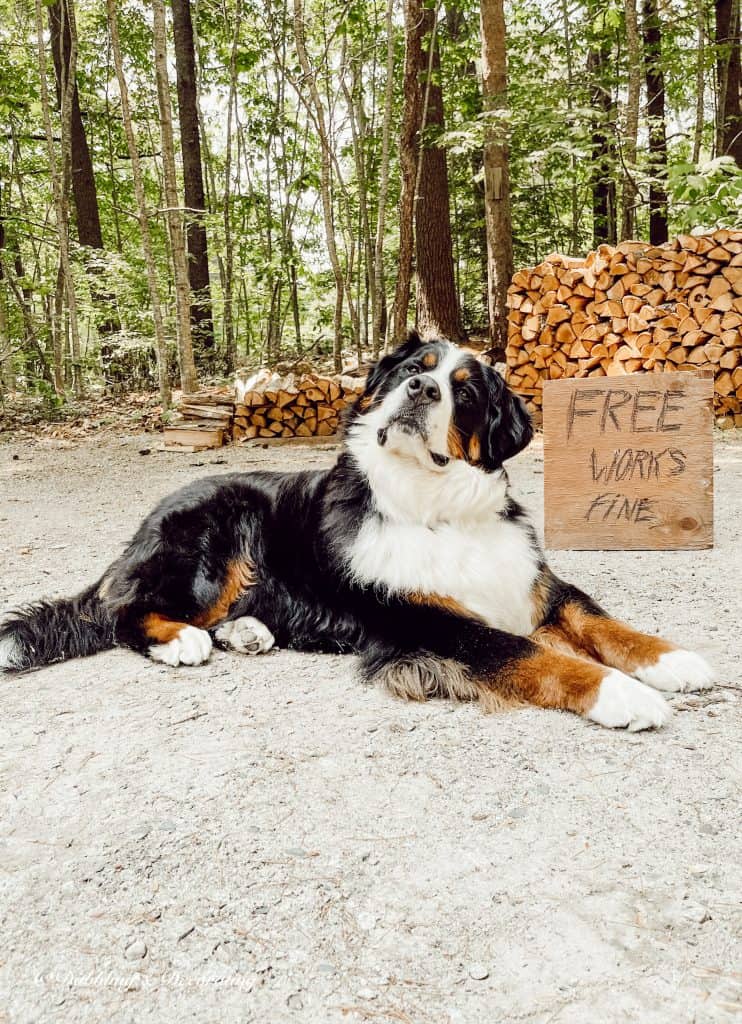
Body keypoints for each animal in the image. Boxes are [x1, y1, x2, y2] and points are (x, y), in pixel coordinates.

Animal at [0, 329, 712, 729]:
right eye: (412, 369)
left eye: (465, 391)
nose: (422, 390)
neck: (434, 508)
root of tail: (142, 528)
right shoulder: (428, 620)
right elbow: (534, 654)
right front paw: (623, 696)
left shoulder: (536, 581)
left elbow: (601, 620)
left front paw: (673, 660)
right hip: (214, 533)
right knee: (123, 613)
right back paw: (183, 641)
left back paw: (248, 632)